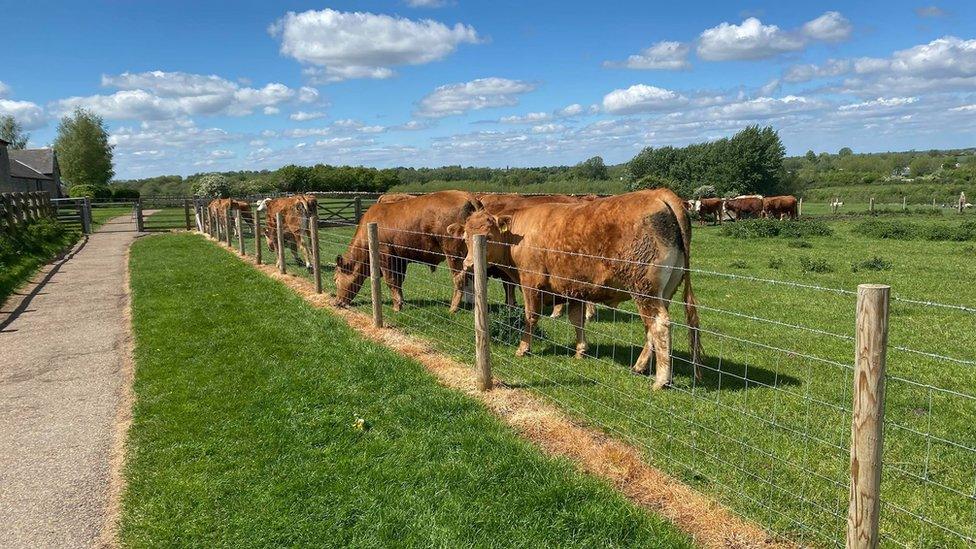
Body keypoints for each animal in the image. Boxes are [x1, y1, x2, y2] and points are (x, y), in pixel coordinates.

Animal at [334, 191, 482, 312]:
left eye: (335, 279)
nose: (336, 302)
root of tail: (466, 195)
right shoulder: (400, 259)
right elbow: (398, 281)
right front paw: (401, 302)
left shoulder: (385, 255)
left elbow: (391, 280)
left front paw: (396, 306)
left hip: (453, 253)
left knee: (459, 278)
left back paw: (453, 308)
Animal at [454, 188, 696, 390]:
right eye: (465, 238)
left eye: (489, 237)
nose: (469, 265)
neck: (517, 236)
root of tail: (658, 193)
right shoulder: (575, 288)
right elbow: (577, 320)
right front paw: (581, 350)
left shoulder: (531, 282)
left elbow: (530, 316)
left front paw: (523, 348)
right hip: (664, 291)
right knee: (651, 328)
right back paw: (640, 366)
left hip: (644, 289)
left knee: (659, 325)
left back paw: (661, 380)